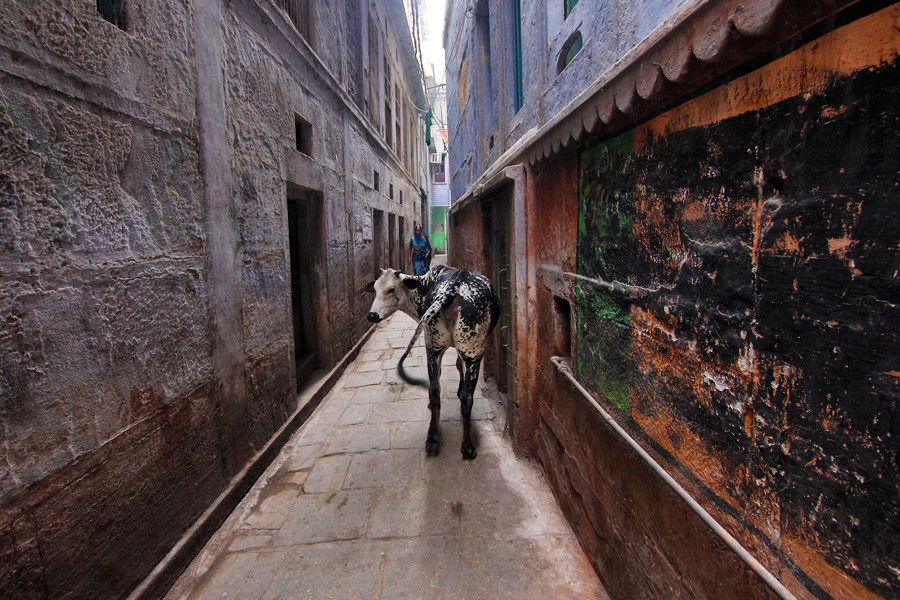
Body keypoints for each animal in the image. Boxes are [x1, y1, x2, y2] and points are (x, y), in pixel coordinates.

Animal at [370, 264, 502, 458]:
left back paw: (432, 438)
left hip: (434, 348)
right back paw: (467, 447)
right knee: (467, 398)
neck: (424, 285)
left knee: (433, 388)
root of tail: (454, 285)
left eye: (391, 289)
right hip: (474, 352)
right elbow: (458, 367)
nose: (371, 315)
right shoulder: (464, 353)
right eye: (375, 289)